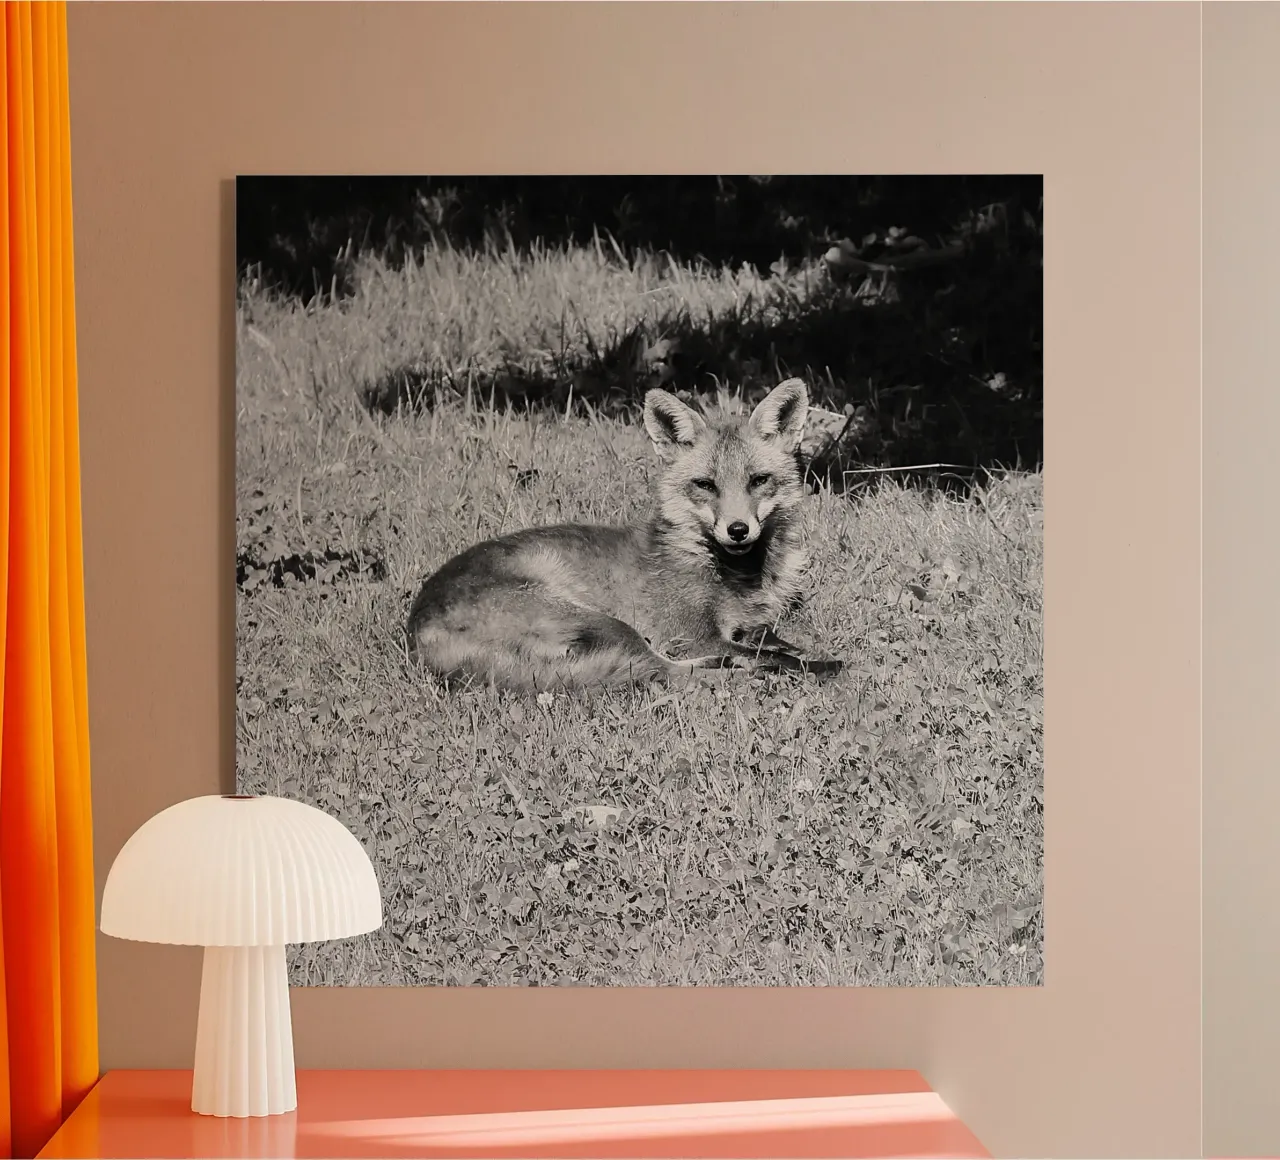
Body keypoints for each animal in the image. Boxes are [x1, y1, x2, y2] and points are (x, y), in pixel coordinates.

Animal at [405, 377, 843, 691]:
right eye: (705, 485)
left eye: (758, 480)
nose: (738, 530)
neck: (738, 575)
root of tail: (415, 631)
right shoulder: (689, 633)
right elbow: (775, 656)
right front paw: (817, 664)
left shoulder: (748, 625)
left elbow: (771, 640)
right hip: (607, 622)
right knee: (663, 671)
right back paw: (746, 674)